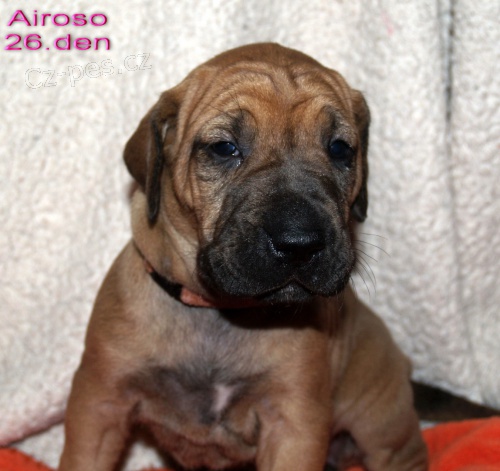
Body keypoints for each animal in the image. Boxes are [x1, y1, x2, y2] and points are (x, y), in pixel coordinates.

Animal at [59, 43, 428, 471]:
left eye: (339, 149)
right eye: (224, 148)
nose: (299, 242)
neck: (218, 312)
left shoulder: (293, 423)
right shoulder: (99, 403)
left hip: (381, 418)